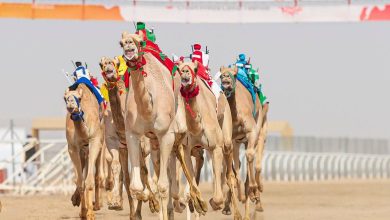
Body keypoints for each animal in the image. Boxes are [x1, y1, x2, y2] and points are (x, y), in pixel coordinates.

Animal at [64, 83, 106, 219]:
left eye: (79, 98)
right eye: (64, 98)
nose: (70, 104)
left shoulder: (95, 141)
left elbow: (89, 180)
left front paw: (90, 214)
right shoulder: (73, 148)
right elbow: (80, 181)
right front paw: (83, 212)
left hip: (101, 144)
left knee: (98, 175)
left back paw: (97, 205)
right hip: (83, 153)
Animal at [177, 60, 241, 218]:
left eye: (195, 68)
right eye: (179, 68)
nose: (185, 73)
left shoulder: (216, 147)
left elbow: (217, 197)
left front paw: (212, 202)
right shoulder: (186, 148)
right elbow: (192, 181)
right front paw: (199, 204)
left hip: (226, 132)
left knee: (230, 174)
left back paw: (235, 213)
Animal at [219, 66, 268, 219]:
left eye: (234, 74)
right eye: (220, 75)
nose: (225, 78)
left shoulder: (252, 132)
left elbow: (250, 156)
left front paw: (253, 190)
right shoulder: (232, 140)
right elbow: (234, 172)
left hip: (259, 130)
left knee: (254, 163)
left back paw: (255, 196)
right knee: (235, 168)